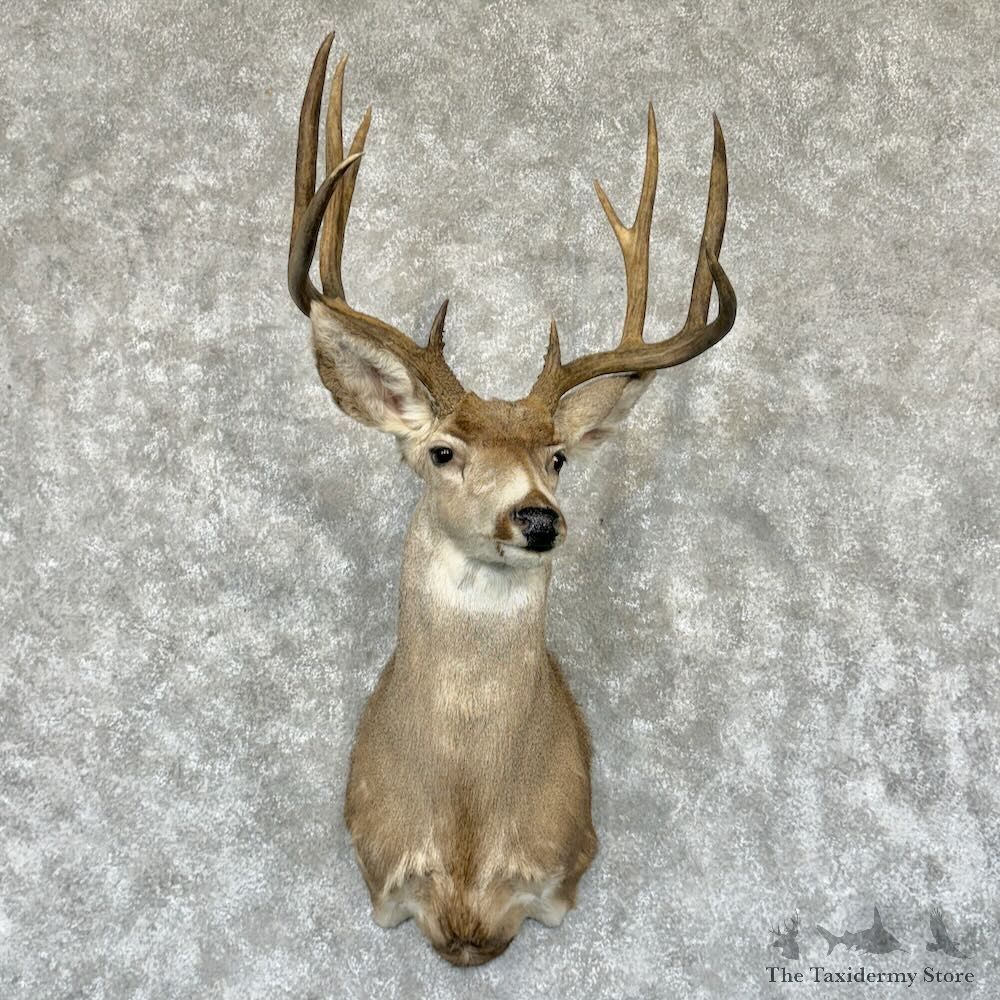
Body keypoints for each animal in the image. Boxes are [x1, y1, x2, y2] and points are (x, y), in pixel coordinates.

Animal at [287, 33, 736, 967]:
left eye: (558, 458)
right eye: (442, 451)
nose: (535, 517)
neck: (465, 839)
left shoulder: (565, 869)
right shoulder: (379, 875)